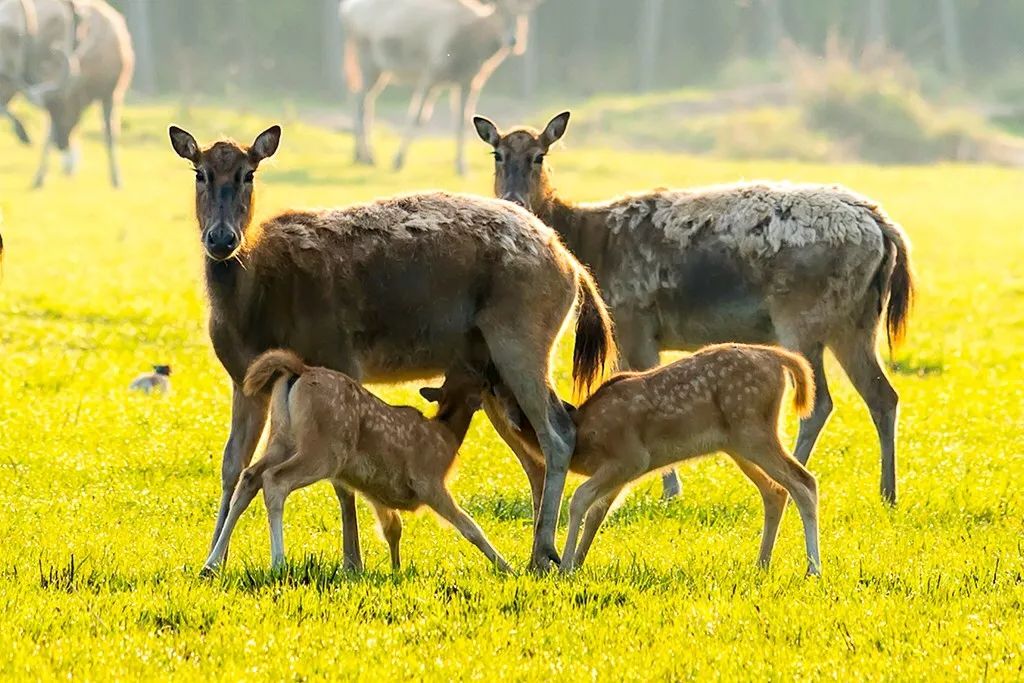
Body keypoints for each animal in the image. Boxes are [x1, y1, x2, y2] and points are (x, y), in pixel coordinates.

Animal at [0, 0, 133, 187]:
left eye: (62, 108)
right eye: (51, 111)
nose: (61, 143)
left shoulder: (113, 91)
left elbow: (110, 133)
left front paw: (116, 180)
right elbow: (48, 134)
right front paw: (39, 179)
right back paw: (24, 135)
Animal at [204, 352, 516, 573]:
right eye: (481, 379)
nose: (492, 370)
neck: (446, 435)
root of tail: (300, 371)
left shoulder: (376, 487)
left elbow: (393, 527)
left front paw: (396, 570)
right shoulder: (427, 480)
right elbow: (469, 526)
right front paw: (506, 567)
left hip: (282, 437)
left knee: (250, 476)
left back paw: (212, 564)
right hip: (323, 450)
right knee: (275, 480)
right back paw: (278, 562)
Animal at [475, 112, 917, 505]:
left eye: (539, 155)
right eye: (498, 153)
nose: (513, 199)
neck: (591, 243)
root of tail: (883, 226)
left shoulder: (634, 317)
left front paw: (670, 490)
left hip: (801, 314)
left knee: (820, 401)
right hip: (857, 320)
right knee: (882, 394)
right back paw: (888, 492)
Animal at [501, 344, 823, 573]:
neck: (584, 438)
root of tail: (780, 359)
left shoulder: (631, 458)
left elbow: (580, 499)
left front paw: (565, 565)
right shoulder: (621, 472)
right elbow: (598, 511)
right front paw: (577, 563)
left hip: (753, 432)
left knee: (804, 482)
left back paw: (813, 569)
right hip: (737, 444)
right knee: (775, 490)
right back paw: (762, 563)